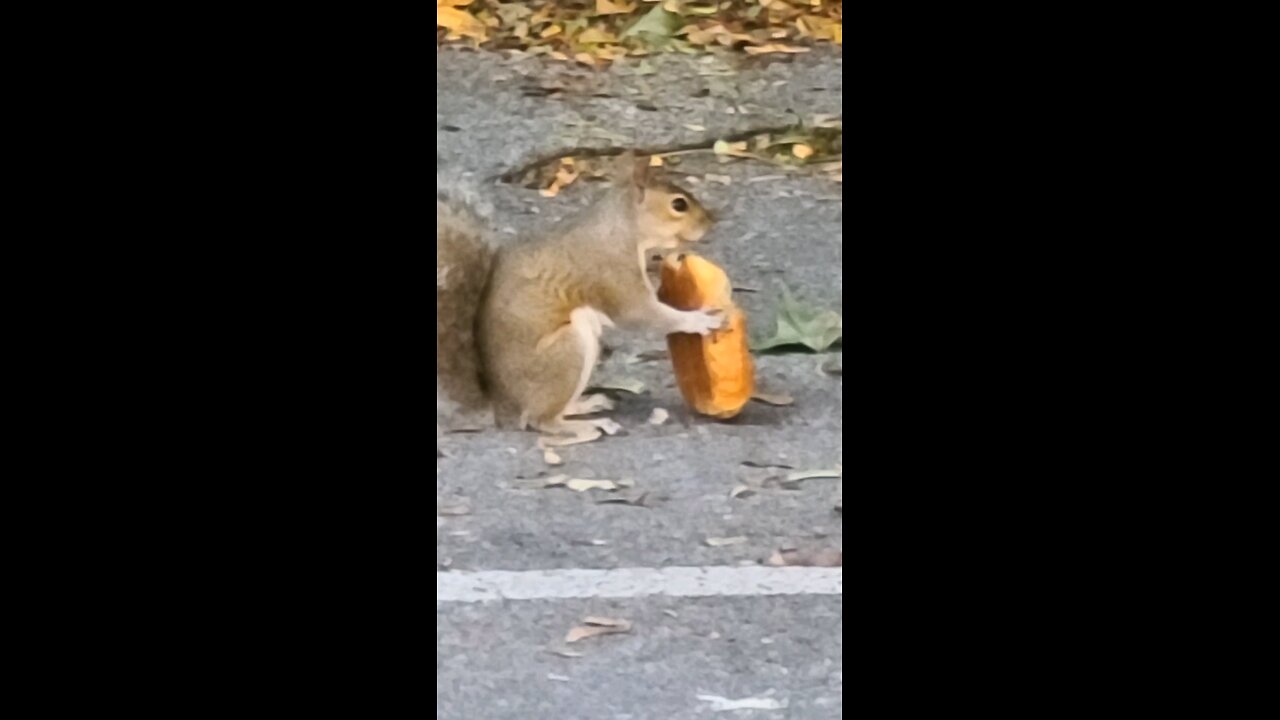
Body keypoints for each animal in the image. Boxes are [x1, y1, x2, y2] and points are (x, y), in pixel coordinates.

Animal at [437, 154, 721, 440]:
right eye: (678, 204)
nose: (711, 220)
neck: (622, 227)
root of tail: (503, 409)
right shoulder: (612, 271)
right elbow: (639, 314)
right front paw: (700, 320)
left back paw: (587, 404)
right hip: (566, 353)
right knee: (541, 420)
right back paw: (586, 428)